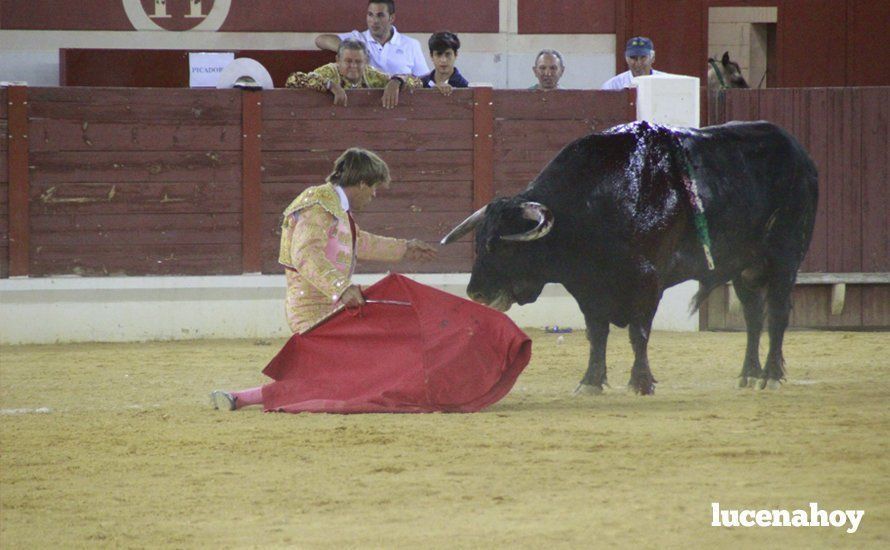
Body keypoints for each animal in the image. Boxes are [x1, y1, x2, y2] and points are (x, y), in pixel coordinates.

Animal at [440, 122, 816, 396]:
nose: (475, 293)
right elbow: (597, 333)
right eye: (479, 243)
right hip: (744, 268)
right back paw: (749, 375)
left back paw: (770, 376)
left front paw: (641, 382)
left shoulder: (648, 281)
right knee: (753, 316)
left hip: (785, 257)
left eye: (503, 247)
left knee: (777, 314)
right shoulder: (588, 287)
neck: (592, 205)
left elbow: (638, 332)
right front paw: (590, 382)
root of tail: (799, 153)